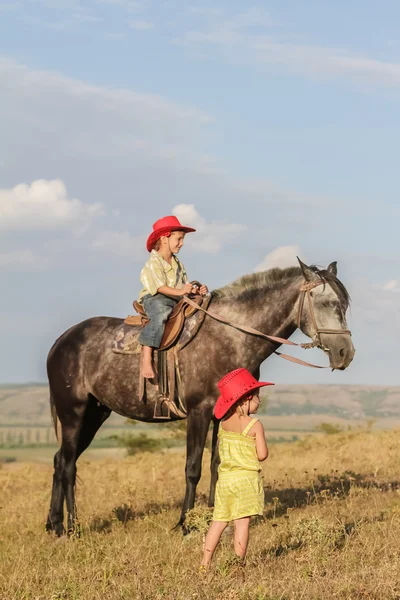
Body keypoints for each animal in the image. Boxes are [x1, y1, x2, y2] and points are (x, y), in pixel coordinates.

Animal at [45, 258, 354, 536]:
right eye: (325, 303)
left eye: (345, 305)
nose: (345, 353)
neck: (230, 337)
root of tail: (60, 342)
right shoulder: (199, 412)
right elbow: (193, 467)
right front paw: (186, 523)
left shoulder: (224, 413)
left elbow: (218, 465)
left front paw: (218, 519)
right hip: (73, 413)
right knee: (69, 465)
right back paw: (71, 527)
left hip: (95, 414)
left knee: (60, 461)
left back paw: (54, 524)